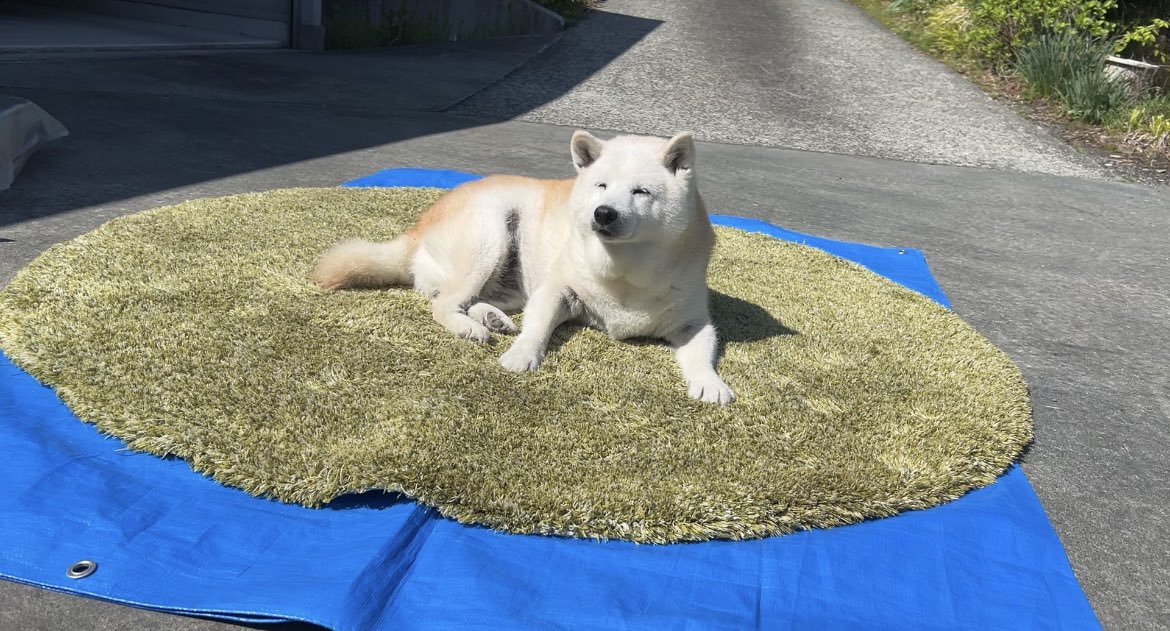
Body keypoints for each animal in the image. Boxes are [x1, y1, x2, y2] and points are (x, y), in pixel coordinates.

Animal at [311, 131, 730, 405]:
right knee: (443, 304)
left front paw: (709, 382)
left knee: (470, 299)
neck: (624, 269)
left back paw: (490, 318)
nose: (603, 213)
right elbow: (537, 327)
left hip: (509, 278)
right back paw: (469, 327)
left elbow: (701, 351)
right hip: (490, 234)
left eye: (640, 191)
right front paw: (524, 355)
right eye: (601, 186)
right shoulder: (558, 290)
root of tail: (417, 228)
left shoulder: (692, 321)